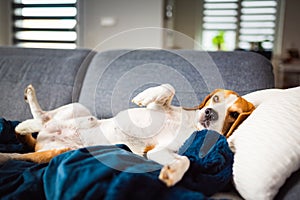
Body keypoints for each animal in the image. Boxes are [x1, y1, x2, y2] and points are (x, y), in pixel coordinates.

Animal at [0, 83, 254, 187]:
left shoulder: (160, 151)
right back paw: (30, 113)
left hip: (52, 151)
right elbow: (168, 87)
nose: (210, 113)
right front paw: (145, 95)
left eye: (234, 114)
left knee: (27, 138)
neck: (192, 126)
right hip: (76, 108)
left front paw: (172, 173)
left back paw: (21, 131)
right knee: (44, 117)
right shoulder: (158, 108)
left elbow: (184, 161)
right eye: (216, 99)